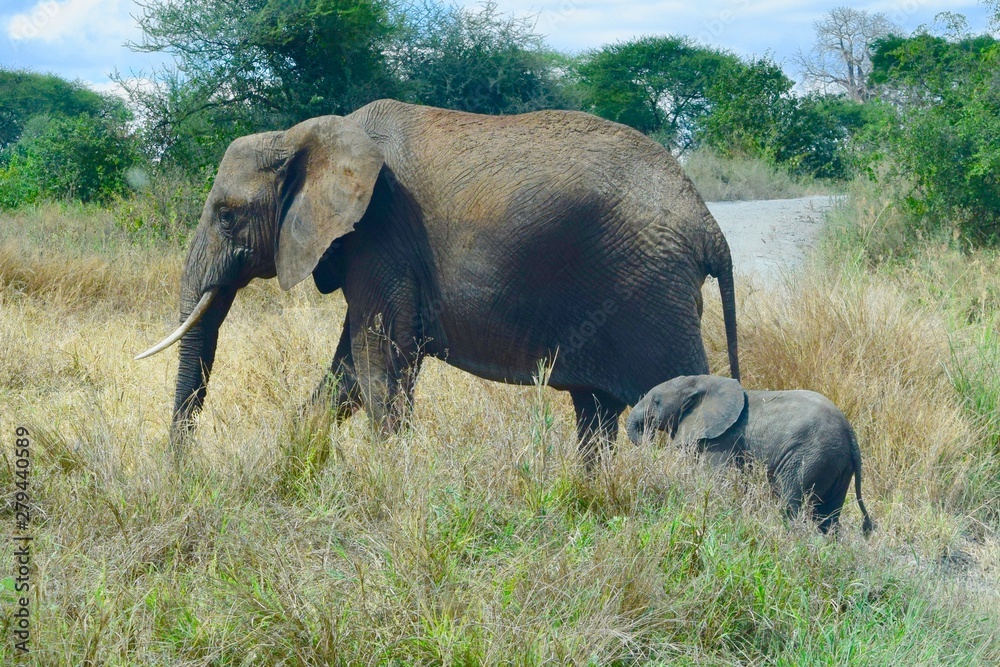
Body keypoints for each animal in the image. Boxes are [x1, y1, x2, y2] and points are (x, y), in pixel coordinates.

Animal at [135, 99, 740, 463]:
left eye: (227, 215)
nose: (182, 470)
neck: (306, 136)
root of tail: (708, 225)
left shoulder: (380, 234)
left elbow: (378, 362)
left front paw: (387, 479)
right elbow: (348, 373)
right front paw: (297, 460)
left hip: (652, 292)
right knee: (594, 410)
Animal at [627, 375, 874, 534]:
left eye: (656, 401)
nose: (648, 438)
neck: (701, 381)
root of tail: (850, 433)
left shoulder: (722, 440)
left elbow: (719, 481)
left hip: (809, 456)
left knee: (791, 505)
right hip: (836, 465)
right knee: (828, 517)